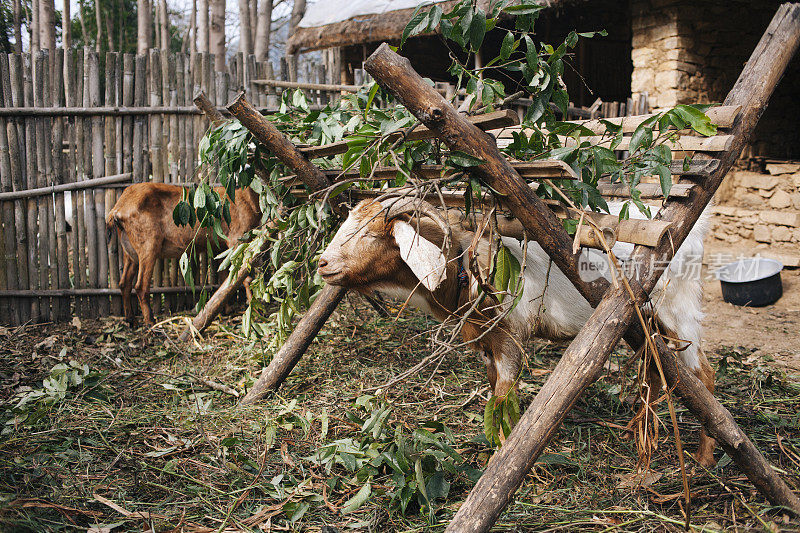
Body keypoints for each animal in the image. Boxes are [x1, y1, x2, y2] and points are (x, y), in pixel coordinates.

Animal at [106, 182, 260, 324]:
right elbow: (244, 276)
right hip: (148, 244)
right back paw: (150, 321)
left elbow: (225, 278)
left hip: (129, 249)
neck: (247, 197)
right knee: (140, 286)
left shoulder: (221, 247)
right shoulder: (236, 238)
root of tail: (118, 208)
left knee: (124, 283)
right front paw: (255, 312)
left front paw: (226, 310)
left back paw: (131, 319)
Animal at [318, 197, 720, 464]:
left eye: (372, 236)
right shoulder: (488, 344)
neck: (467, 262)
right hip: (643, 319)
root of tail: (696, 228)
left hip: (677, 309)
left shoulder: (511, 335)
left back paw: (703, 458)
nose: (322, 264)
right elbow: (494, 389)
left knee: (704, 372)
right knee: (656, 368)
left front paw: (501, 458)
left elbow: (502, 397)